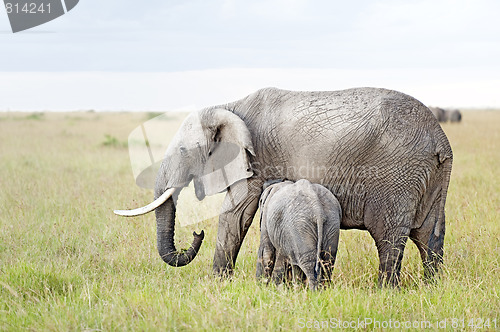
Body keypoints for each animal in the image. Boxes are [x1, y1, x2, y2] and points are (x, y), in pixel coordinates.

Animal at [114, 87, 454, 286]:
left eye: (185, 151)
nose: (195, 235)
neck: (228, 105)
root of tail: (441, 139)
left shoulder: (257, 157)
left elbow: (235, 213)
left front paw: (218, 284)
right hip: (430, 176)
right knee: (429, 235)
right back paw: (430, 288)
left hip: (398, 174)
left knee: (388, 235)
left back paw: (385, 291)